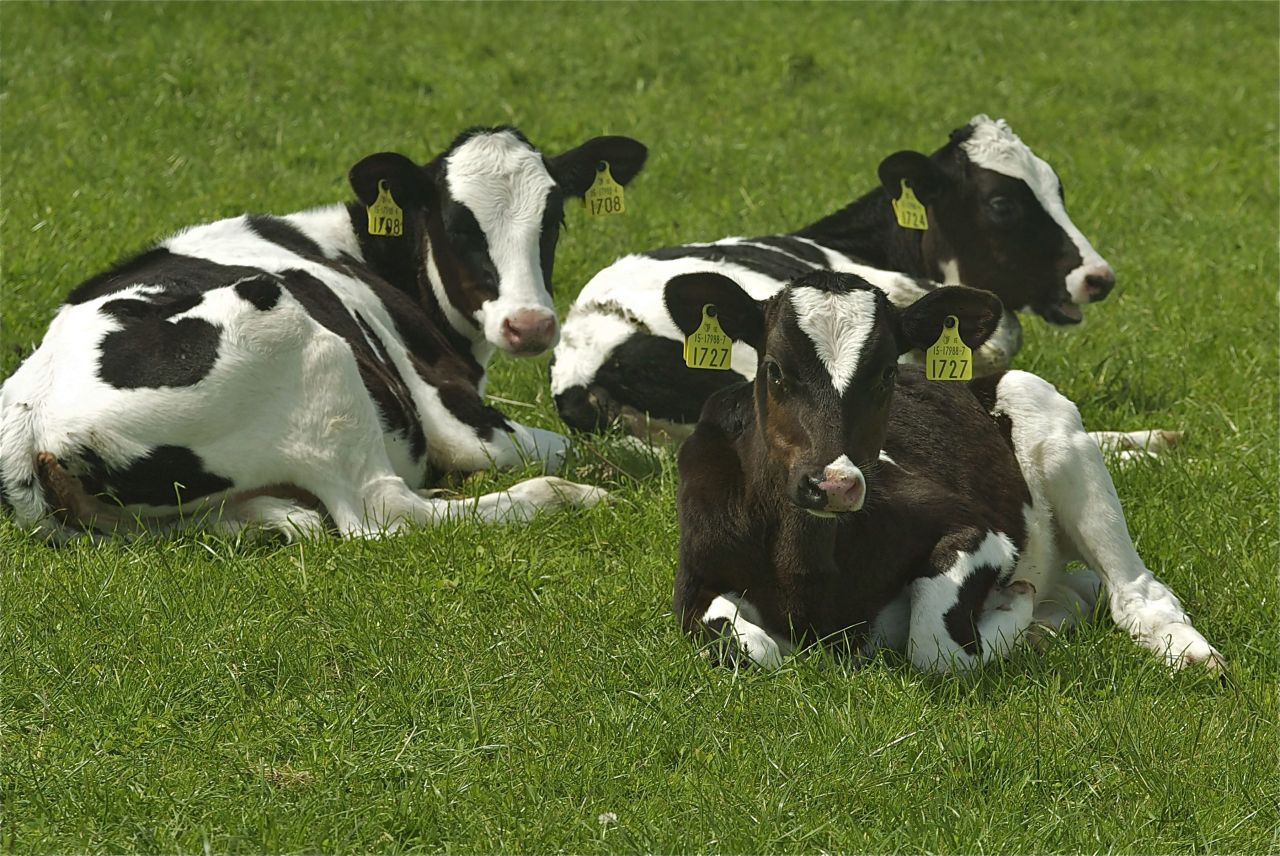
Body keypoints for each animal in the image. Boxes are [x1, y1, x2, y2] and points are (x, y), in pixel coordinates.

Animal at [0, 126, 647, 541]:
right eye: (456, 224)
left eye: (553, 219)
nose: (530, 324)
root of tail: (33, 416)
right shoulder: (457, 419)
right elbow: (591, 443)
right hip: (299, 344)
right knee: (387, 512)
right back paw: (564, 496)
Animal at [668, 269, 1221, 672]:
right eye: (775, 370)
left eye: (886, 373)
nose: (835, 484)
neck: (807, 565)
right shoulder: (693, 583)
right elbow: (751, 649)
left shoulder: (981, 531)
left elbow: (935, 645)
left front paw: (1010, 609)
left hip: (1050, 419)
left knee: (1134, 591)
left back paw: (1188, 652)